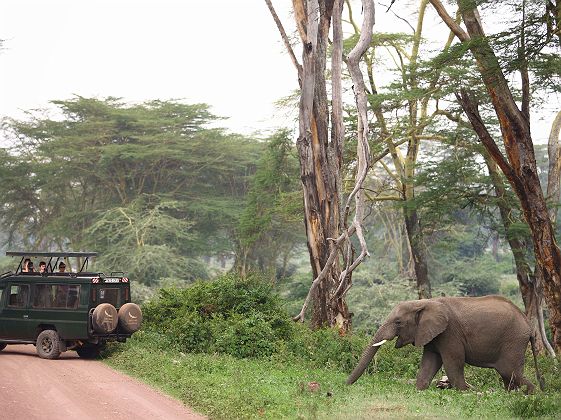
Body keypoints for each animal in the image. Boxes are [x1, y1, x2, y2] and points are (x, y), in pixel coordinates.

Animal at [346, 296, 544, 394]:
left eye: (398, 322)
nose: (344, 385)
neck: (424, 302)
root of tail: (528, 326)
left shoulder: (450, 333)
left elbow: (453, 363)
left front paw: (464, 392)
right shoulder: (432, 334)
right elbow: (429, 362)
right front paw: (420, 390)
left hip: (513, 341)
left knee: (510, 372)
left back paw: (534, 396)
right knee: (509, 377)